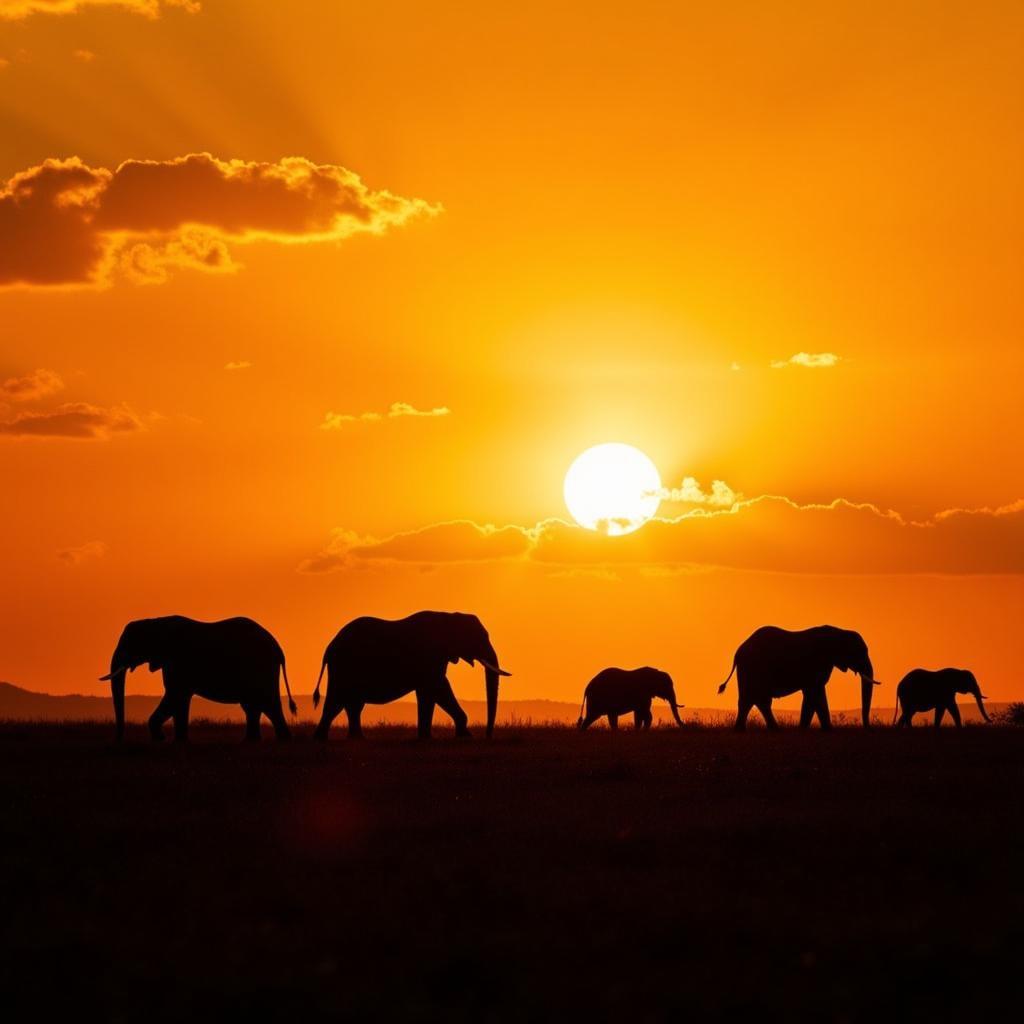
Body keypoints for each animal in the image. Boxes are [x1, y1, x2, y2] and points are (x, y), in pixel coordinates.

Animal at [98, 614, 296, 745]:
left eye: (130, 644)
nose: (118, 740)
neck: (155, 621)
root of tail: (279, 649)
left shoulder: (178, 660)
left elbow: (175, 696)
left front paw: (161, 739)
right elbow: (180, 700)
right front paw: (179, 742)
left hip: (259, 667)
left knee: (266, 703)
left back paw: (278, 741)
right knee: (254, 706)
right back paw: (254, 741)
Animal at [307, 610, 507, 741]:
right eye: (480, 638)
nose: (487, 736)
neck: (449, 616)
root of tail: (329, 648)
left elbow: (429, 693)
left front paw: (426, 738)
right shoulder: (429, 657)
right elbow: (439, 687)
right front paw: (465, 736)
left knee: (352, 704)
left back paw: (356, 739)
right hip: (344, 667)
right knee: (338, 701)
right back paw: (323, 739)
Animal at [720, 622, 880, 729]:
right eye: (860, 652)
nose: (867, 727)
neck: (839, 631)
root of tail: (737, 653)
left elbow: (812, 696)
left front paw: (805, 729)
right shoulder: (817, 663)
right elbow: (815, 693)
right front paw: (826, 730)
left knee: (757, 700)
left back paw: (770, 729)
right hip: (752, 668)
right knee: (751, 699)